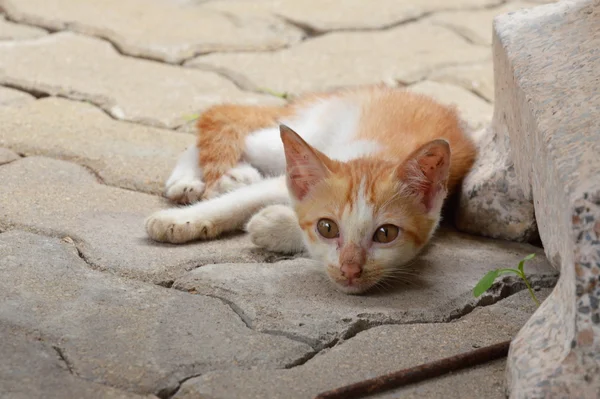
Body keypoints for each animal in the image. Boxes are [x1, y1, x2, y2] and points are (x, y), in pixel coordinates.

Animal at [146, 86, 478, 296]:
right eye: (329, 227)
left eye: (385, 234)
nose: (351, 270)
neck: (372, 160)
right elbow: (237, 203)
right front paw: (178, 221)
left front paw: (273, 225)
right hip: (295, 137)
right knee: (230, 127)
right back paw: (193, 180)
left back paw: (232, 177)